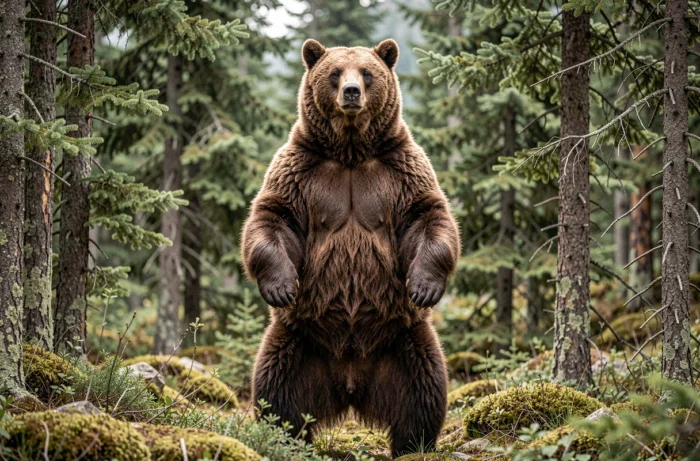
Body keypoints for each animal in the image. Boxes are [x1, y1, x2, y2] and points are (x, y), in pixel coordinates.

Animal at [241, 38, 460, 457]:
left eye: (368, 72)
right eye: (334, 72)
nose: (352, 92)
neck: (350, 150)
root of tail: (350, 384)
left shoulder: (401, 168)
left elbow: (427, 216)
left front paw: (425, 286)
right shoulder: (299, 168)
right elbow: (273, 217)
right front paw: (280, 286)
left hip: (404, 340)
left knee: (425, 390)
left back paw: (414, 443)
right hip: (298, 341)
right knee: (275, 390)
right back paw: (283, 436)